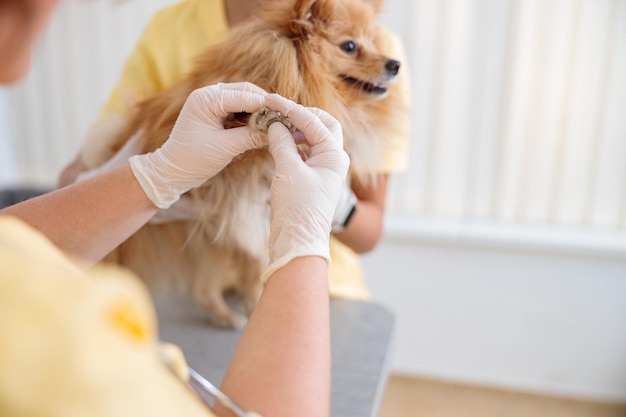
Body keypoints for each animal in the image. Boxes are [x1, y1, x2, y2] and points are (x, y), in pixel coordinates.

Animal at [80, 0, 404, 326]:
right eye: (350, 46)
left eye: (374, 43)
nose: (395, 64)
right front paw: (260, 117)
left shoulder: (251, 213)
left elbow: (254, 264)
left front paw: (255, 304)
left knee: (203, 287)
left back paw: (225, 316)